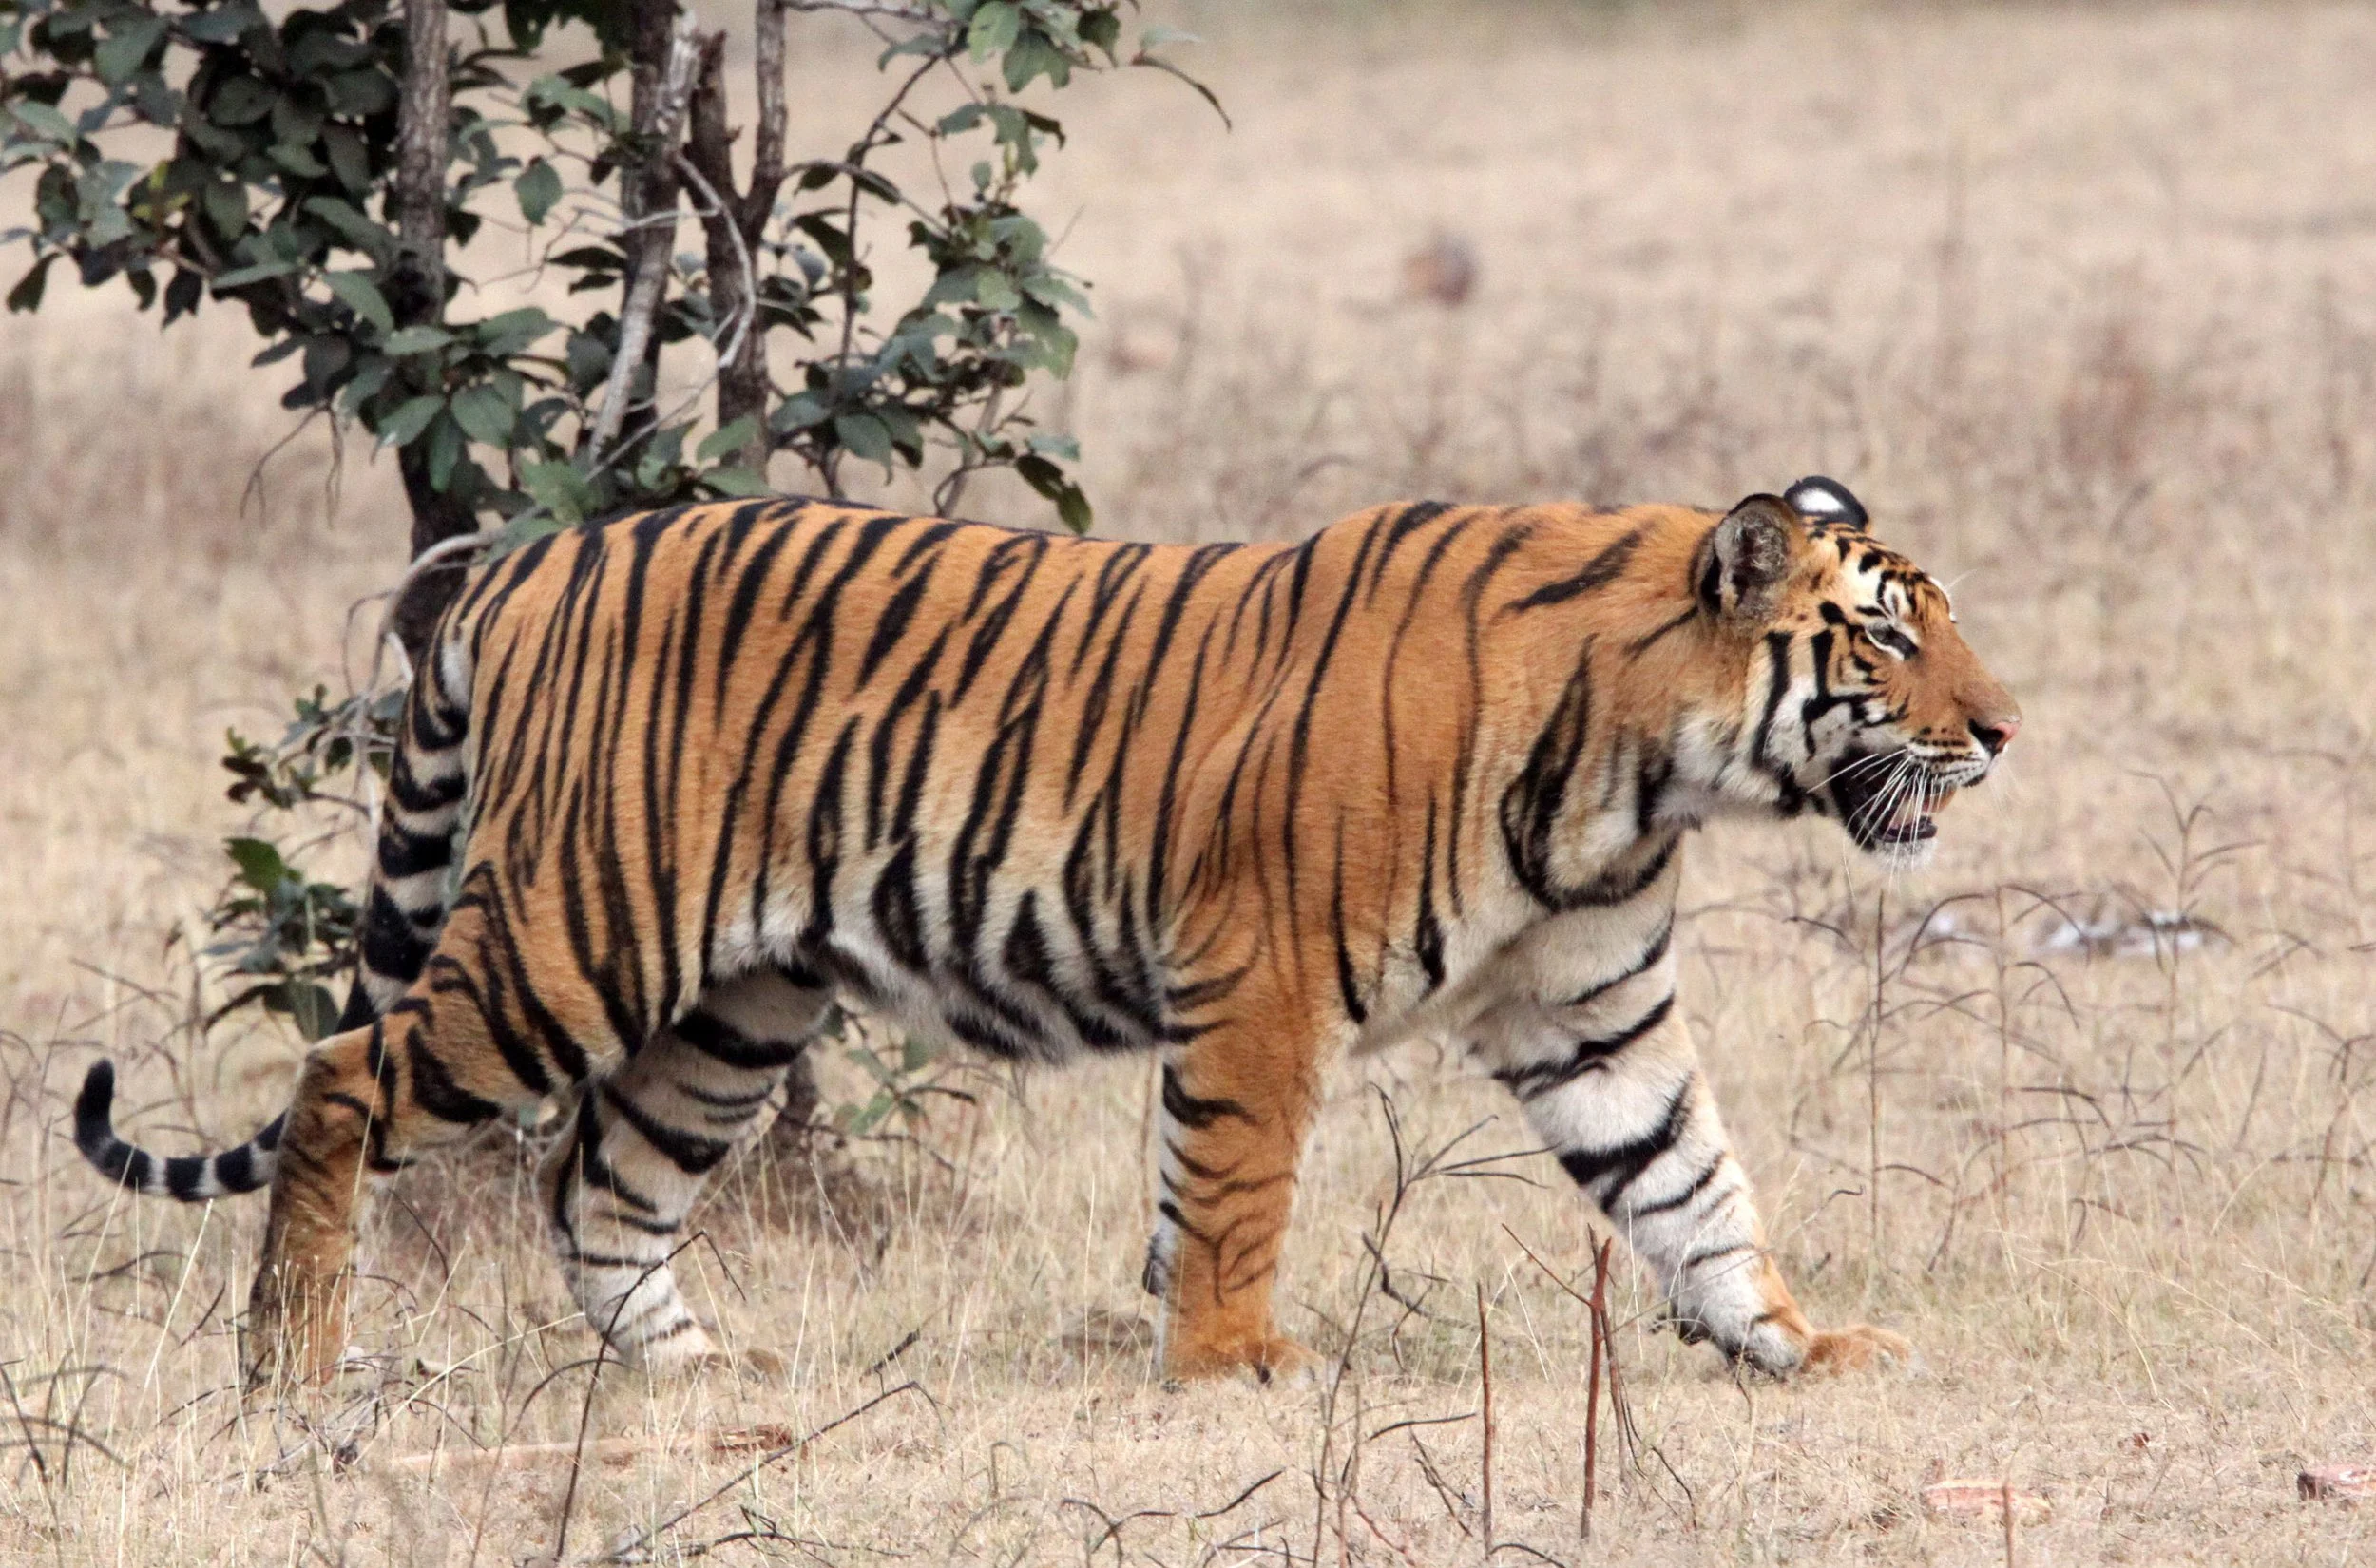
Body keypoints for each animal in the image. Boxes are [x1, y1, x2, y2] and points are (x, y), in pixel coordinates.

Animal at [73, 475, 2018, 1385]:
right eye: (1890, 636)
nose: (2006, 731)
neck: (1642, 768)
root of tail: (535, 556)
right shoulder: (1261, 977)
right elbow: (1232, 1190)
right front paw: (1232, 1363)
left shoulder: (1591, 1003)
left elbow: (1691, 1178)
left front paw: (1794, 1343)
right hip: (578, 935)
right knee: (342, 1076)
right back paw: (289, 1361)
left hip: (734, 1004)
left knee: (598, 1188)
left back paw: (697, 1379)